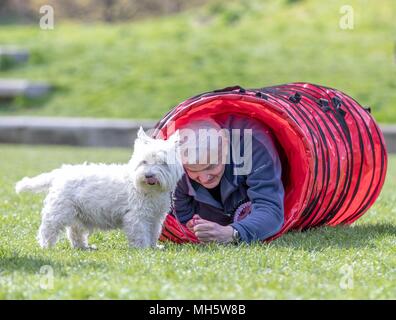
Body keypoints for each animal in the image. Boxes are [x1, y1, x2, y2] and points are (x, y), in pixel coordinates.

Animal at [14, 127, 183, 250]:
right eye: (144, 162)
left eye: (163, 163)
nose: (148, 175)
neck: (149, 191)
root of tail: (61, 172)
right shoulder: (137, 215)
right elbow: (141, 233)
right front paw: (143, 249)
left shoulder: (155, 216)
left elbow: (153, 232)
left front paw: (154, 247)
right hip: (60, 211)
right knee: (48, 228)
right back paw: (46, 246)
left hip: (78, 213)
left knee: (74, 232)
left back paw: (83, 247)